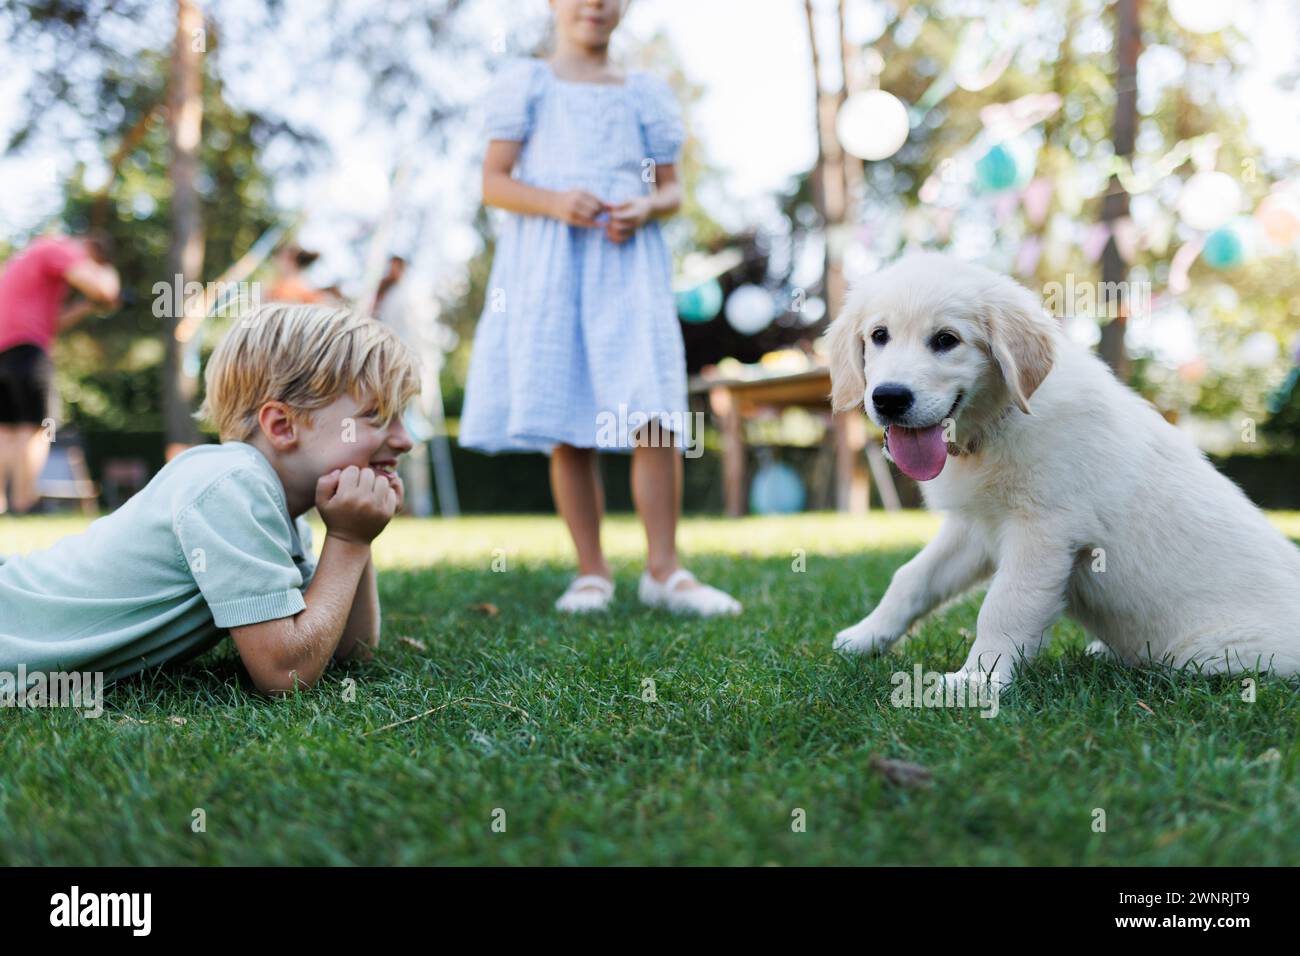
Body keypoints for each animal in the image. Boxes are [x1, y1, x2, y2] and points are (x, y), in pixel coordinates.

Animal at [826, 254, 1300, 686]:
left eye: (946, 339)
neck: (999, 423)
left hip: (1208, 653)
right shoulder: (974, 527)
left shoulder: (1044, 530)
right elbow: (912, 578)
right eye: (879, 335)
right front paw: (865, 637)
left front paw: (976, 682)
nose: (888, 398)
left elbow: (1004, 606)